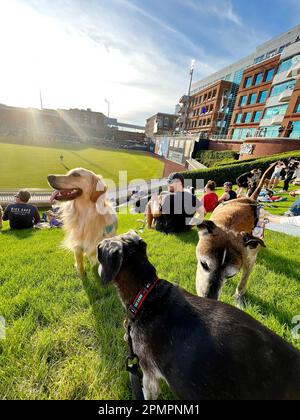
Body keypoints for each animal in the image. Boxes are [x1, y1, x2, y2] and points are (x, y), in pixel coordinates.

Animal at [195, 163, 276, 306]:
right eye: (204, 264)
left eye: (230, 275)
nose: (209, 300)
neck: (229, 223)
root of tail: (250, 198)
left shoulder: (249, 259)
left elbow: (243, 282)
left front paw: (238, 299)